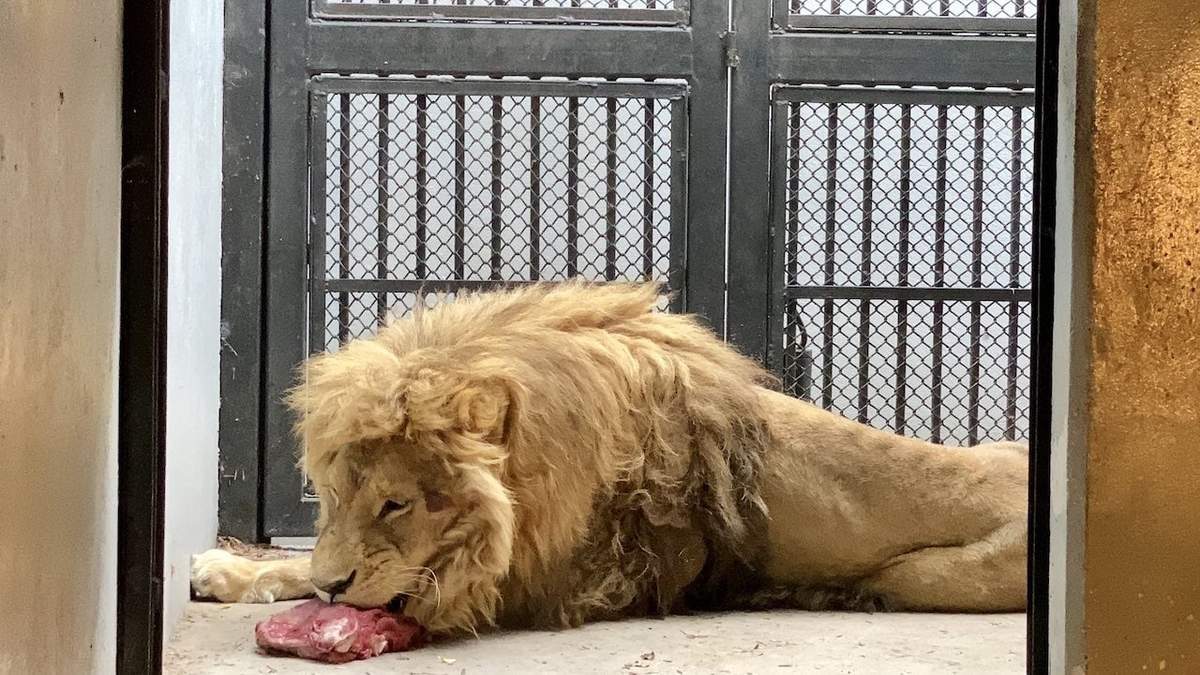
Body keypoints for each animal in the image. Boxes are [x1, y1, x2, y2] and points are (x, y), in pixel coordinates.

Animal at [192, 281, 1027, 634]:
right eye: (331, 499)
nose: (336, 587)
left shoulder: (559, 581)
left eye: (395, 503)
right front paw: (227, 569)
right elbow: (293, 565)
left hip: (920, 573)